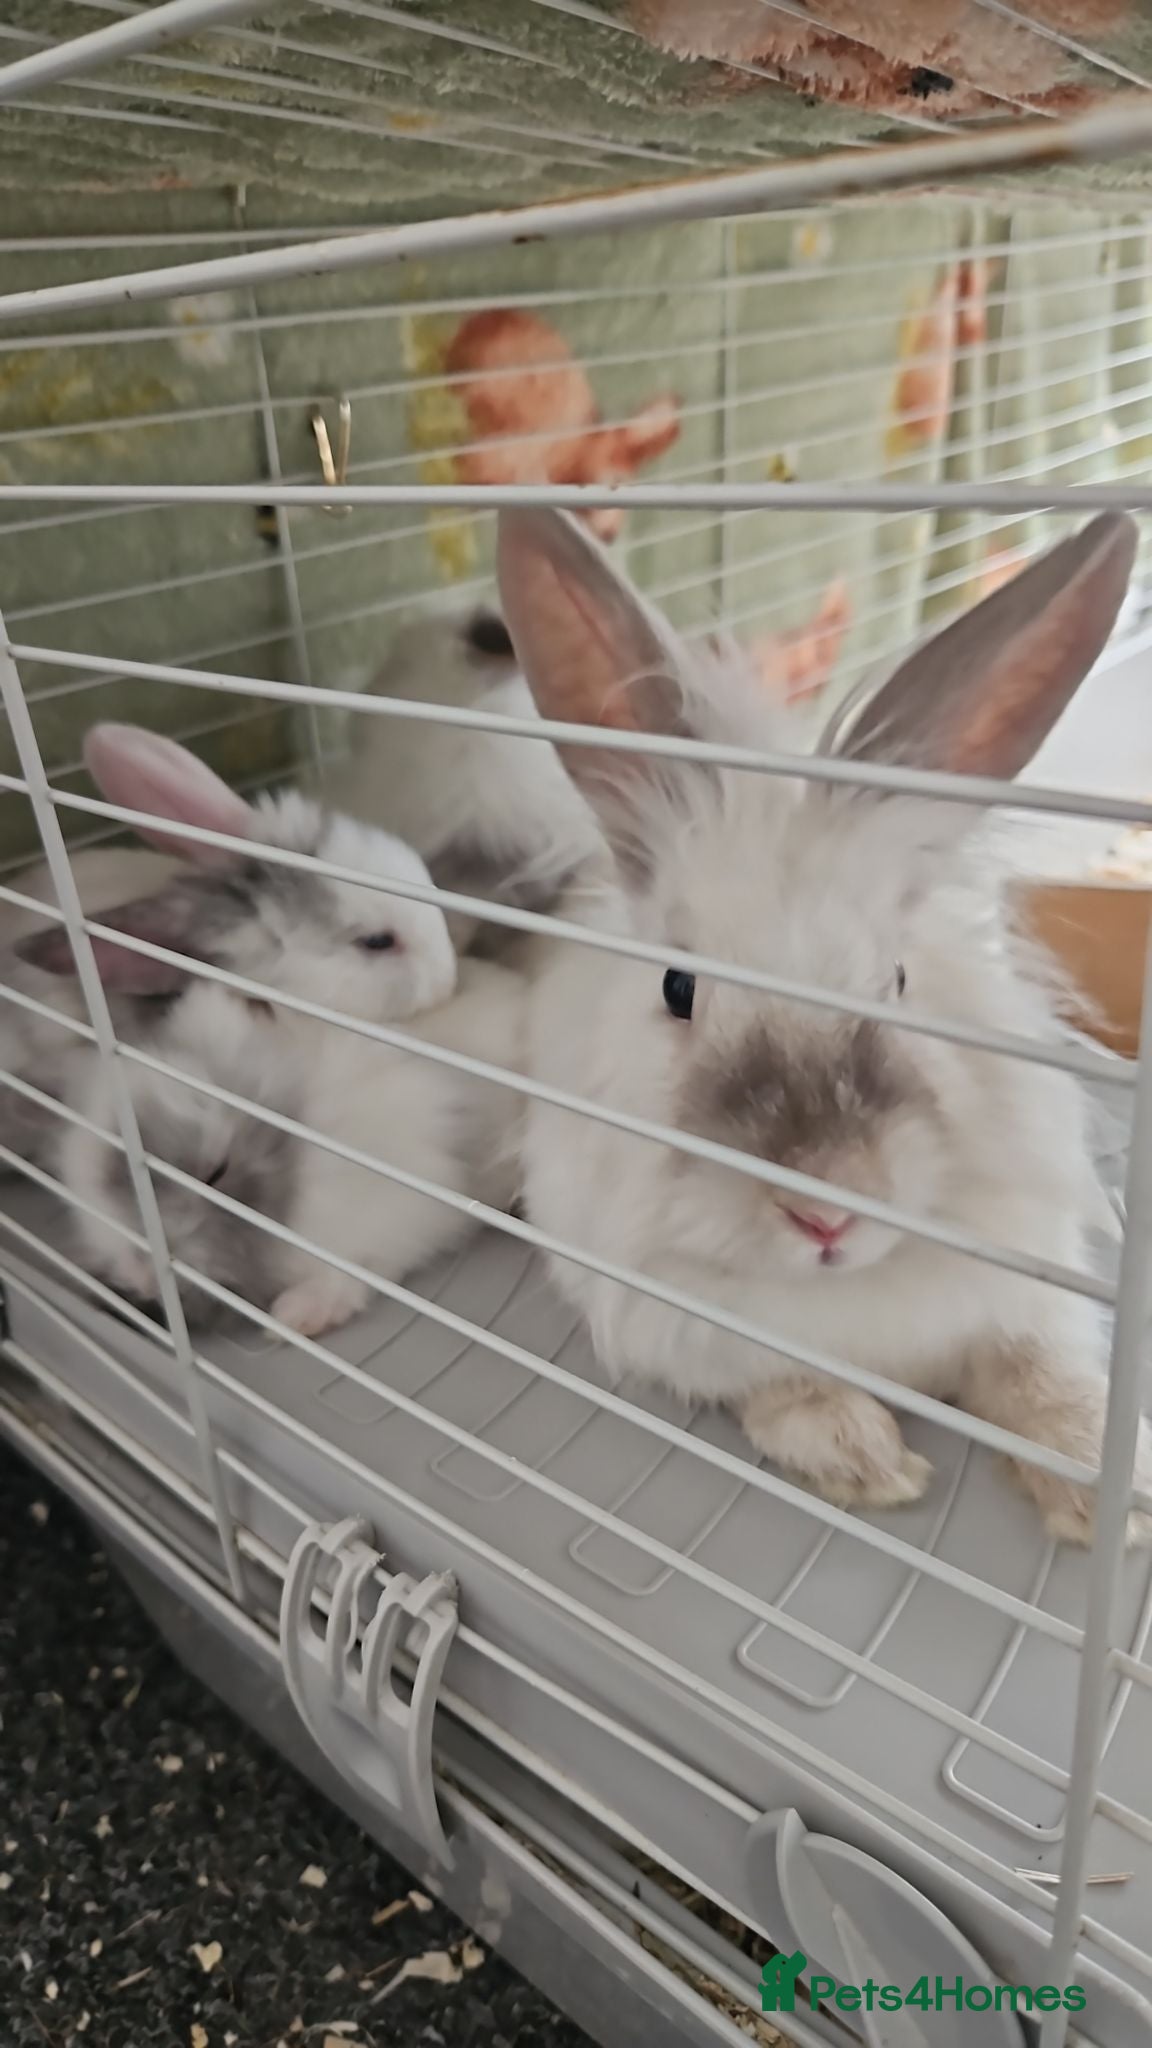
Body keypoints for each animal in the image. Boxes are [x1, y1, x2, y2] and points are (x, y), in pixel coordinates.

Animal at [495, 503, 1152, 1547]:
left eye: (897, 978)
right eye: (679, 988)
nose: (827, 1211)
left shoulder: (1027, 1288)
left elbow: (1039, 1375)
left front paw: (1107, 1500)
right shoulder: (687, 1328)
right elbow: (784, 1386)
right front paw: (866, 1461)